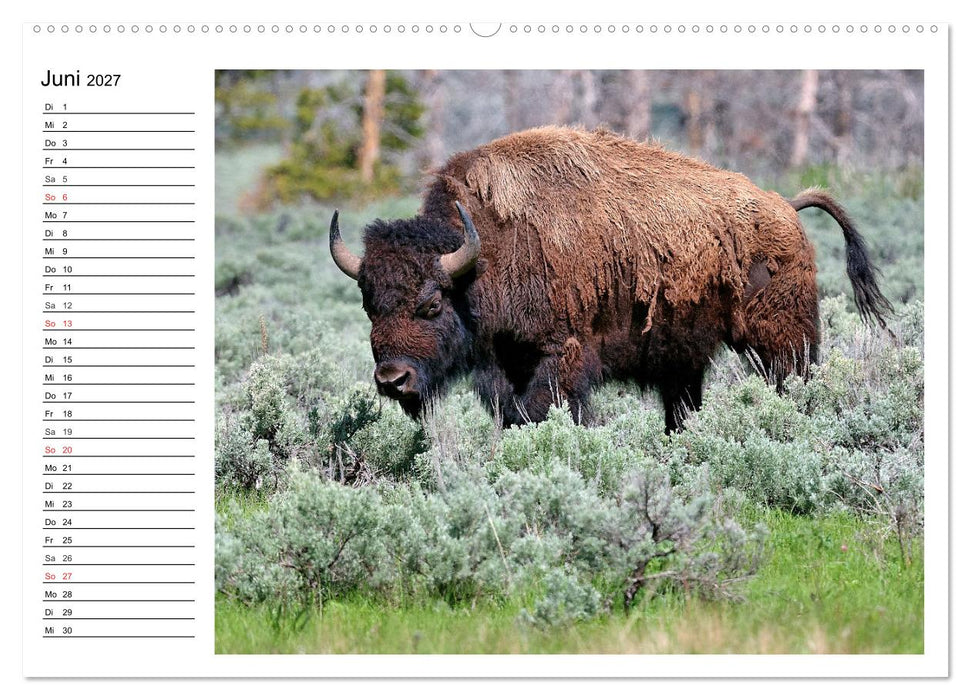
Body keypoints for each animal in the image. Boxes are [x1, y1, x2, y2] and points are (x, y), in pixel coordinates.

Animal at [329, 126, 891, 433]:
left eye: (431, 304)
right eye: (369, 306)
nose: (392, 380)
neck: (488, 250)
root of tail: (784, 206)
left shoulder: (560, 355)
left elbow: (542, 410)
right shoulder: (506, 365)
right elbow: (512, 413)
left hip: (782, 338)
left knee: (791, 380)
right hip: (683, 356)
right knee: (682, 405)